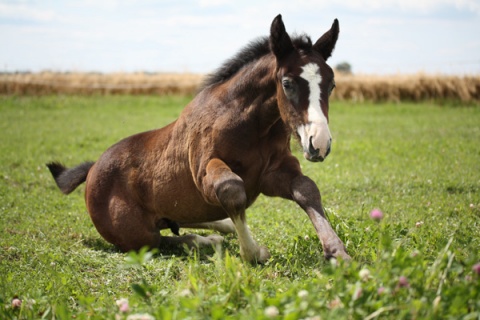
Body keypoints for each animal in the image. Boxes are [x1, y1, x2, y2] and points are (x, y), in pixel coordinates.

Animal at [47, 15, 348, 264]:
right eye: (287, 83)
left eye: (331, 84)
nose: (319, 143)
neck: (250, 126)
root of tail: (93, 169)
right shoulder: (206, 169)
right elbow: (232, 190)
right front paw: (253, 252)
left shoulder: (270, 175)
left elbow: (306, 189)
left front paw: (336, 252)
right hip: (138, 236)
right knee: (162, 239)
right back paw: (205, 240)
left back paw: (220, 228)